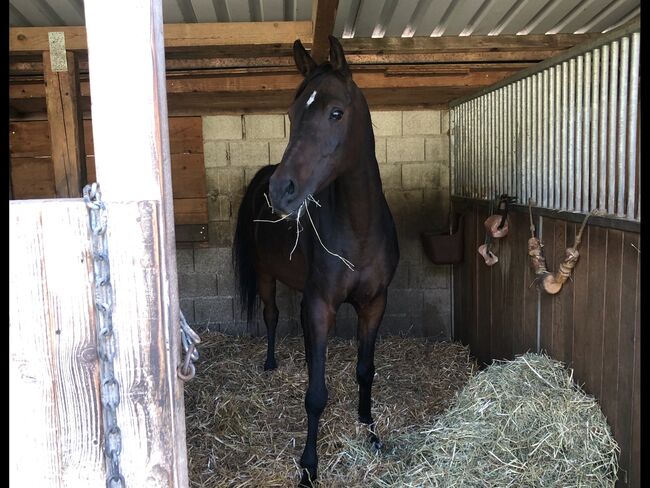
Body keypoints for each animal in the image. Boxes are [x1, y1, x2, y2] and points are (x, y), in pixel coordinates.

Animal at [230, 36, 398, 486]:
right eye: (291, 115)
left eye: (335, 112)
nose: (281, 191)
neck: (358, 228)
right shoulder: (321, 304)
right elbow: (315, 395)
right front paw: (308, 466)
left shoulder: (375, 304)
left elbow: (365, 370)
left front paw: (369, 430)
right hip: (267, 276)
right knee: (271, 316)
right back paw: (270, 362)